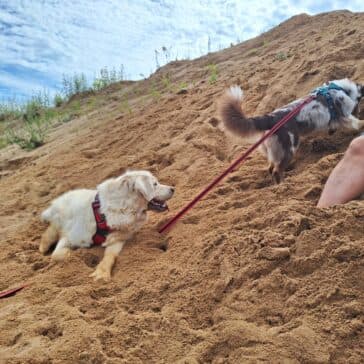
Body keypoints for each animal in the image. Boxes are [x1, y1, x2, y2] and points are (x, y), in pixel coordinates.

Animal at [39, 171, 175, 282]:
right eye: (155, 184)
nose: (173, 188)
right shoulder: (70, 237)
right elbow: (59, 255)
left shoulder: (117, 239)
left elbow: (110, 256)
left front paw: (101, 274)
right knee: (51, 230)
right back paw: (43, 246)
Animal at [218, 78, 362, 183]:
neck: (340, 89)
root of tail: (271, 118)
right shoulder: (345, 116)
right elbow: (357, 123)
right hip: (288, 150)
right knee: (276, 171)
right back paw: (283, 185)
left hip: (273, 151)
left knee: (271, 168)